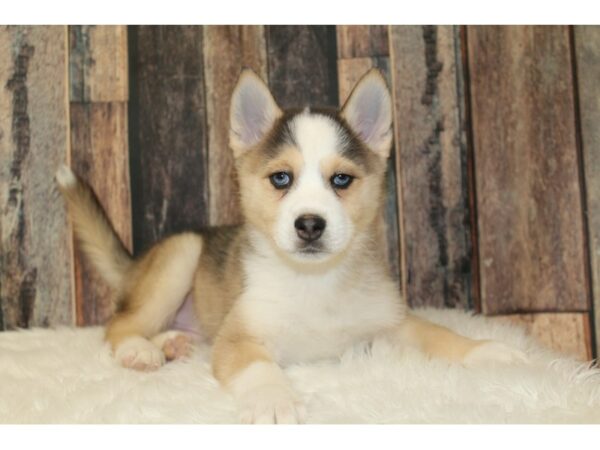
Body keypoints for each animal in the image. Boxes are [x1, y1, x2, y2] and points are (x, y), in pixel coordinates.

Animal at [55, 68, 524, 424]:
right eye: (281, 178)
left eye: (341, 179)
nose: (310, 225)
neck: (315, 282)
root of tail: (137, 266)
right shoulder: (240, 338)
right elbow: (260, 367)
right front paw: (274, 400)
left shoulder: (393, 323)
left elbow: (440, 334)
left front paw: (488, 351)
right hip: (181, 256)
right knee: (119, 324)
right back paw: (141, 350)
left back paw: (173, 343)